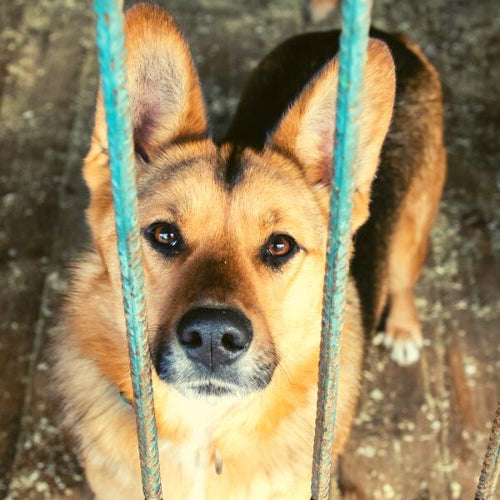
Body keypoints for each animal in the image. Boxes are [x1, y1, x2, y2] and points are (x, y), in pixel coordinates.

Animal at [54, 2, 446, 496]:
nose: (213, 339)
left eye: (280, 245)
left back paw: (403, 329)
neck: (206, 433)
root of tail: (386, 33)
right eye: (164, 234)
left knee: (404, 277)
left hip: (413, 228)